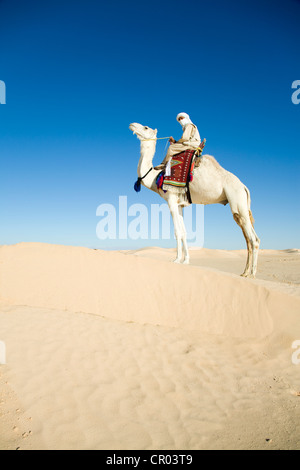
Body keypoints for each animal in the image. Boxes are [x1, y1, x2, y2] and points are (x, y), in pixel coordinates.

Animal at [129, 122, 260, 280]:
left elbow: (177, 232)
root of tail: (244, 186)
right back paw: (245, 272)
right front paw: (186, 260)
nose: (132, 124)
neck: (155, 177)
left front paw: (176, 260)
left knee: (254, 239)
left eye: (146, 127)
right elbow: (184, 232)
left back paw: (252, 274)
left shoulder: (171, 200)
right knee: (247, 238)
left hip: (237, 201)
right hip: (240, 207)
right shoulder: (180, 204)